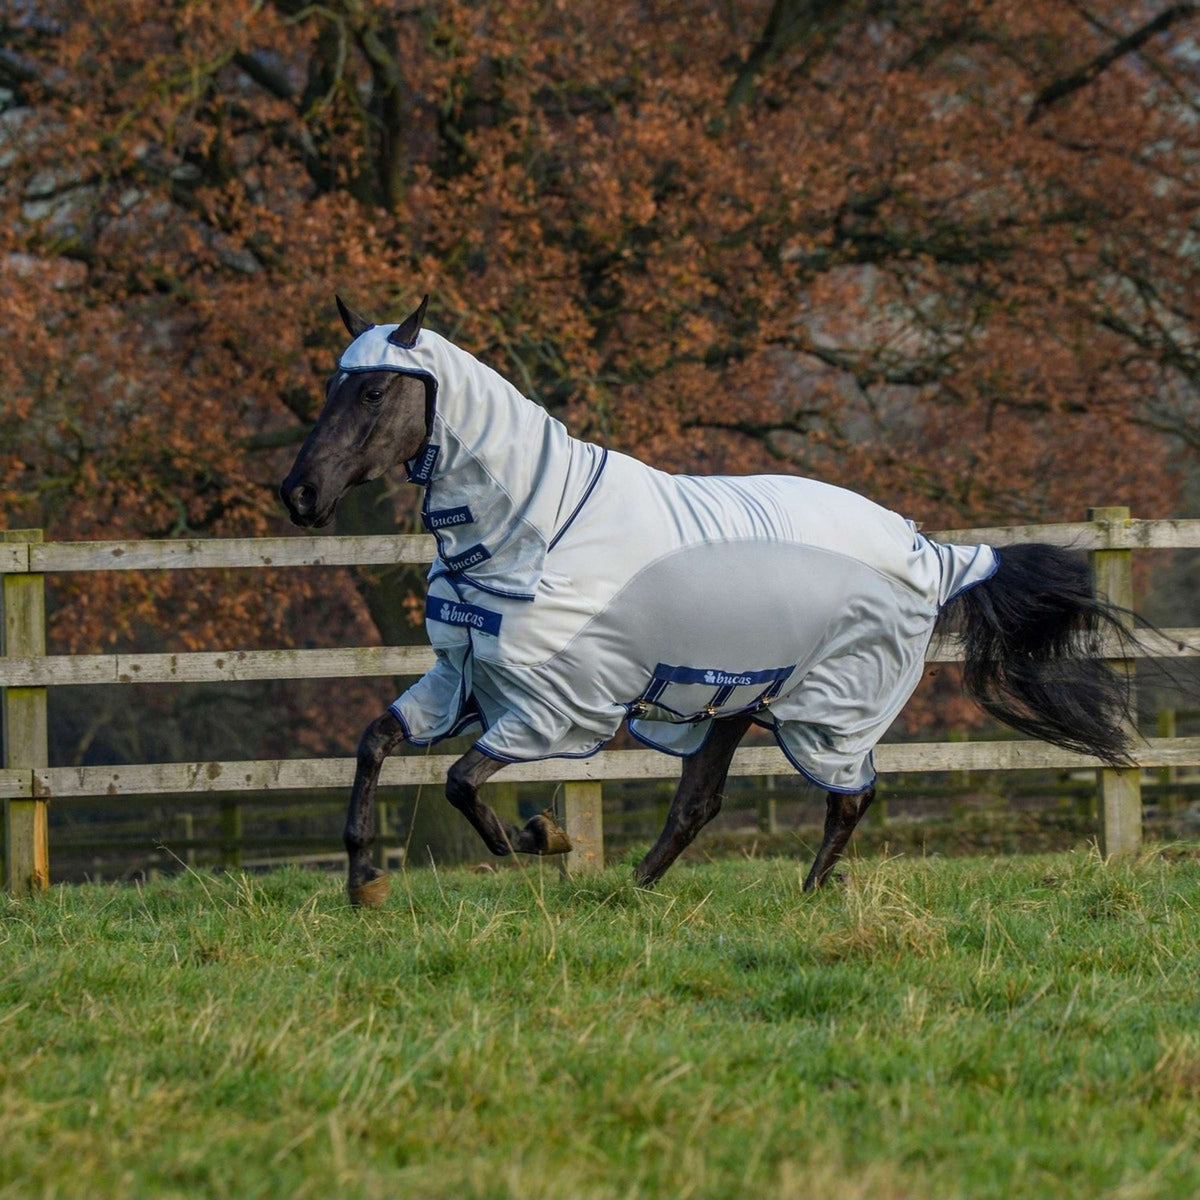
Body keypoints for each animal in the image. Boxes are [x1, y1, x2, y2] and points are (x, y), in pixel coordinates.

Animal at [280, 295, 1132, 902]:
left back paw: (808, 891)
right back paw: (635, 891)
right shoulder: (463, 680)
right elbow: (374, 742)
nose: (300, 493)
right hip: (730, 701)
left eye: (375, 390)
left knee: (850, 796)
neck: (539, 527)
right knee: (700, 804)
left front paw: (541, 838)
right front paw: (363, 879)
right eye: (330, 386)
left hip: (830, 710)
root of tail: (933, 550)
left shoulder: (555, 706)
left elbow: (460, 783)